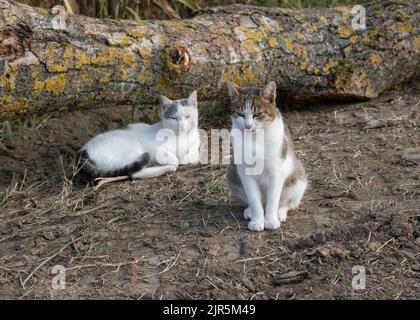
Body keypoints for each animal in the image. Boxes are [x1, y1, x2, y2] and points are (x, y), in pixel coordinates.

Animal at [226, 81, 308, 231]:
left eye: (257, 114)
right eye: (240, 114)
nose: (248, 126)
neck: (255, 139)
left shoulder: (276, 172)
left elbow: (273, 199)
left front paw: (271, 220)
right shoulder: (245, 172)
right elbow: (254, 199)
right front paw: (257, 220)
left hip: (298, 179)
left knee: (286, 203)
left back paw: (280, 212)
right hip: (231, 173)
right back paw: (250, 211)